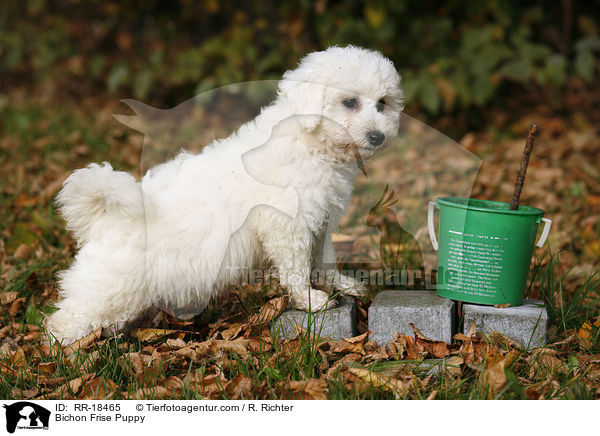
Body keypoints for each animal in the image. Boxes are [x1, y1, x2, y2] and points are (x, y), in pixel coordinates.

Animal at [45, 45, 404, 344]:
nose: (378, 136)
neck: (312, 143)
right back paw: (67, 353)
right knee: (66, 320)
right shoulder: (286, 225)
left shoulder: (321, 219)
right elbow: (296, 267)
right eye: (349, 102)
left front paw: (342, 285)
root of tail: (105, 215)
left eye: (382, 103)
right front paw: (311, 300)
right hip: (109, 286)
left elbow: (324, 258)